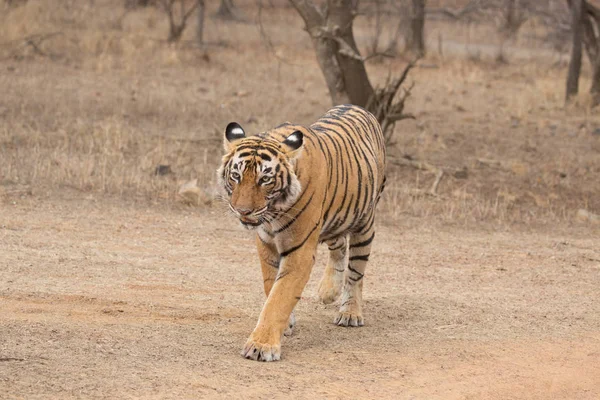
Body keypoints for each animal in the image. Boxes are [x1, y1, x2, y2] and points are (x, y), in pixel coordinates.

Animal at [218, 104, 386, 360]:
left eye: (265, 179)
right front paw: (286, 324)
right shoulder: (266, 244)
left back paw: (350, 312)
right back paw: (328, 291)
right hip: (336, 218)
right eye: (236, 176)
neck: (273, 212)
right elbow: (270, 286)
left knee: (356, 272)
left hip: (364, 224)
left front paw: (261, 346)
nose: (243, 211)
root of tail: (356, 106)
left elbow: (280, 297)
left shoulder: (300, 251)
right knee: (339, 245)